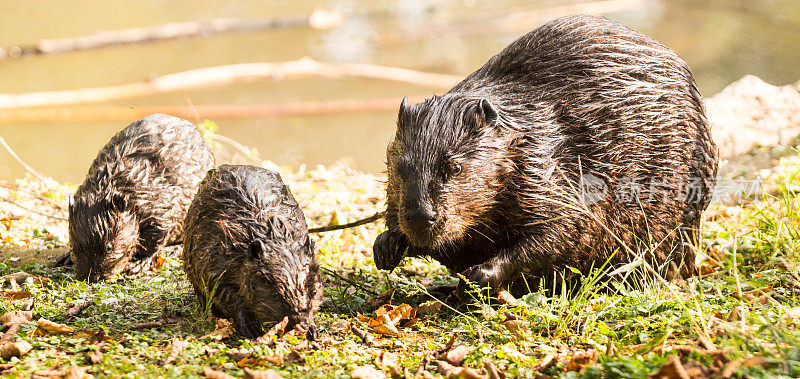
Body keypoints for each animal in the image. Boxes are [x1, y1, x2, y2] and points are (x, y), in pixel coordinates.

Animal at [67, 114, 214, 284]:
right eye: (74, 246)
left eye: (109, 247)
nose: (93, 277)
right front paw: (65, 258)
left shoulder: (162, 205)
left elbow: (157, 236)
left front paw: (138, 265)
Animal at [183, 165, 320, 340]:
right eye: (275, 293)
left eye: (312, 290)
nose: (301, 323)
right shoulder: (216, 255)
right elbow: (221, 289)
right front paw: (251, 328)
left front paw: (313, 329)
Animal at [374, 14, 720, 296]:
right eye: (400, 166)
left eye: (454, 167)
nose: (421, 217)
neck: (525, 131)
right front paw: (386, 247)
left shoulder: (553, 171)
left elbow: (560, 230)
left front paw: (479, 275)